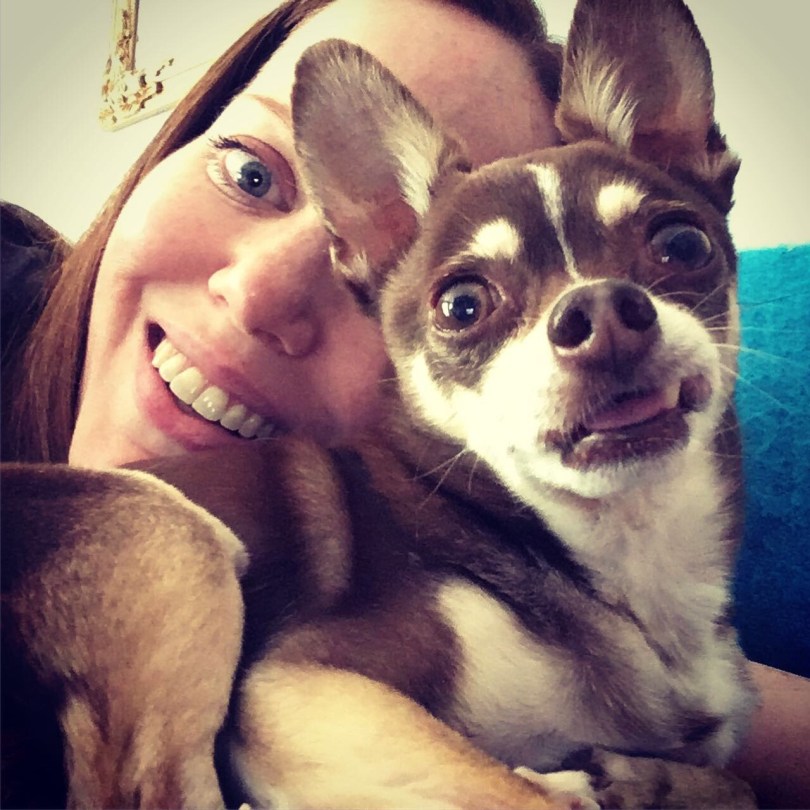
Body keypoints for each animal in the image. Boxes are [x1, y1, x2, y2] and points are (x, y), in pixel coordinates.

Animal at [2, 0, 760, 807]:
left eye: (681, 245)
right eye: (462, 305)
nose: (601, 311)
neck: (627, 550)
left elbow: (733, 783)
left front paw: (638, 775)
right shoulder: (302, 689)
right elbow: (512, 791)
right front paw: (585, 779)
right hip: (177, 536)